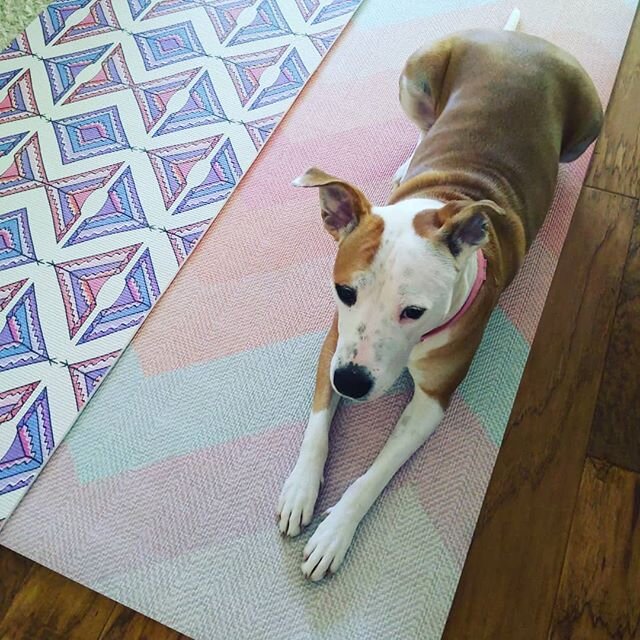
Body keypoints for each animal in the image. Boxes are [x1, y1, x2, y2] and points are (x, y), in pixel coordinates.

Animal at [278, 10, 604, 580]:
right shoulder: (334, 345)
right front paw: (301, 489)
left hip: (589, 122)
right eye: (344, 291)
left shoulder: (430, 401)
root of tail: (519, 40)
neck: (445, 199)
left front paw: (335, 531)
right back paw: (408, 162)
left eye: (415, 311)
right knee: (423, 126)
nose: (352, 383)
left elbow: (372, 475)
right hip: (417, 76)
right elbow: (318, 424)